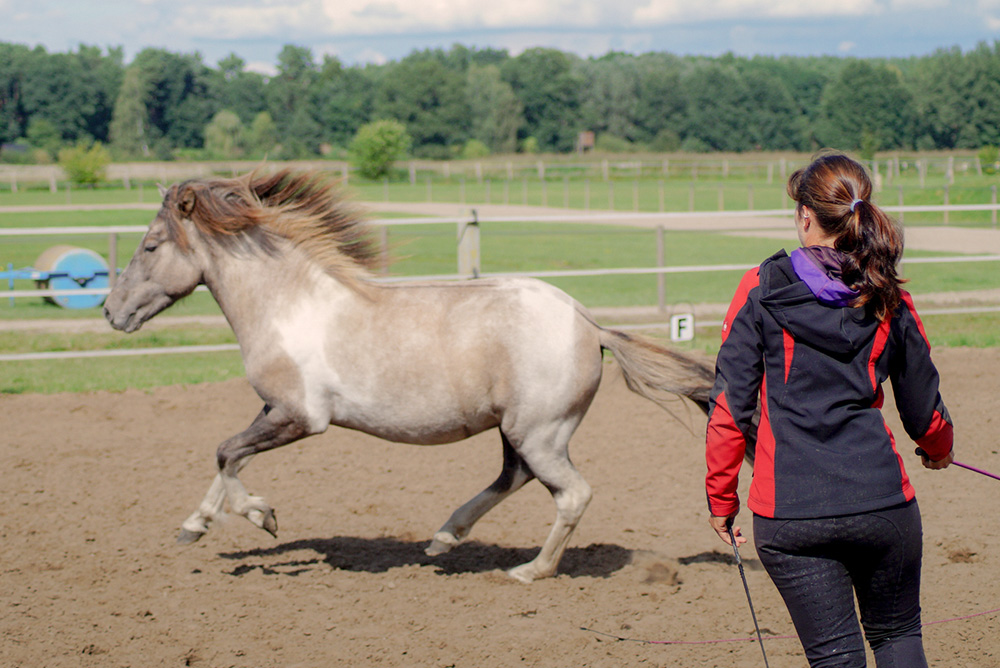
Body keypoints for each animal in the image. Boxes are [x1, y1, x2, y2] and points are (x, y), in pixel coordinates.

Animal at [101, 170, 716, 580]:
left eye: (151, 245)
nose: (111, 312)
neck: (290, 304)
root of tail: (590, 326)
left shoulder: (300, 417)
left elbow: (226, 454)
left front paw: (263, 516)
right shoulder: (273, 409)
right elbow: (229, 457)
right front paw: (194, 525)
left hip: (541, 432)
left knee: (571, 495)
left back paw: (528, 571)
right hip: (519, 430)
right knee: (512, 477)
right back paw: (444, 539)